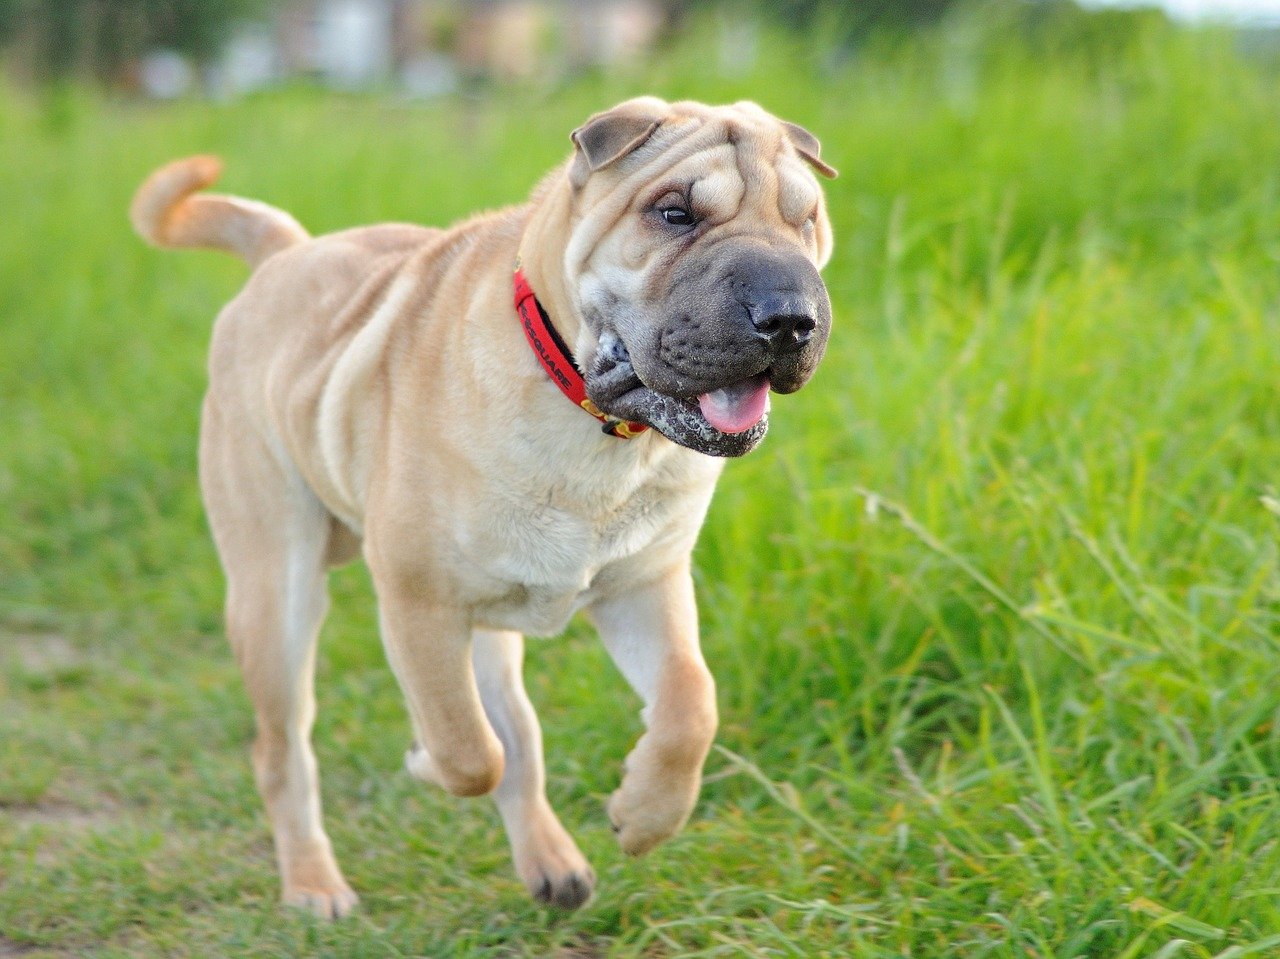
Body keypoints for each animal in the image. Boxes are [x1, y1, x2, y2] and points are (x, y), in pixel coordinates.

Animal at [127, 95, 829, 911]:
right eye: (674, 212)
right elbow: (464, 748)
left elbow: (690, 701)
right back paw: (312, 881)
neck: (592, 425)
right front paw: (425, 762)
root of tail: (286, 253)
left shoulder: (643, 586)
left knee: (519, 736)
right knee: (287, 749)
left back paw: (551, 860)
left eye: (805, 220)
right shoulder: (418, 603)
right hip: (277, 595)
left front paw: (647, 813)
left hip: (487, 627)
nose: (788, 317)